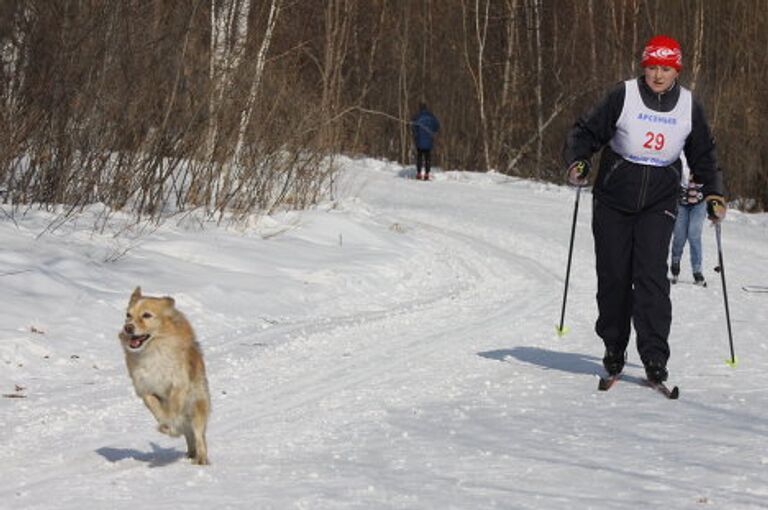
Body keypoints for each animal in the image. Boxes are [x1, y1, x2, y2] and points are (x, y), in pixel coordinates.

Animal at [118, 288, 212, 464]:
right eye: (128, 315)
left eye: (146, 315)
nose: (128, 327)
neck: (153, 350)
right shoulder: (145, 389)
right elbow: (155, 407)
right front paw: (165, 424)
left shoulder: (179, 384)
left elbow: (173, 406)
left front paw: (169, 422)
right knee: (189, 436)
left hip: (197, 405)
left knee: (198, 435)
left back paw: (201, 458)